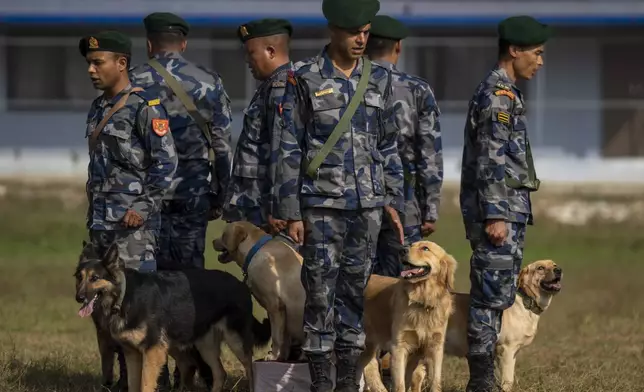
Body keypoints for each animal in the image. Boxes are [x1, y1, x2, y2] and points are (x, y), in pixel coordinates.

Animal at [75, 242, 272, 392]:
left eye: (94, 278)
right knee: (219, 373)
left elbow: (145, 385)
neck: (124, 297)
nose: (79, 298)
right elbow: (133, 386)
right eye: (79, 277)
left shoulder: (152, 352)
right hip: (204, 345)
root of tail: (241, 283)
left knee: (250, 370)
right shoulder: (132, 354)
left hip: (236, 342)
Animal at [210, 220, 304, 362]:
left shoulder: (275, 306)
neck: (255, 250)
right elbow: (285, 339)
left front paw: (273, 356)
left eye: (224, 235)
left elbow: (276, 337)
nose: (213, 241)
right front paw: (281, 356)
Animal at [362, 239, 458, 392]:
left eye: (425, 248)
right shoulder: (399, 347)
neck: (422, 301)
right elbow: (400, 384)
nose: (402, 250)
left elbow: (432, 380)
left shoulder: (434, 346)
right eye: (411, 245)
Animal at [412, 258, 564, 390]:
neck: (526, 302)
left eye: (554, 264)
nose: (559, 270)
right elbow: (508, 381)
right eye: (540, 268)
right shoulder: (507, 350)